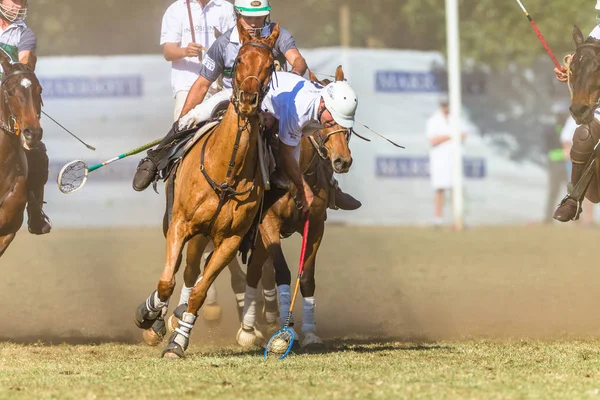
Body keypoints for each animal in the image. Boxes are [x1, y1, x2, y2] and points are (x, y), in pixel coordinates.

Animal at [135, 20, 280, 360]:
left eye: (270, 66)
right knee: (180, 270)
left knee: (191, 273)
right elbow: (165, 282)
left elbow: (199, 291)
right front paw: (148, 314)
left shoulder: (230, 240)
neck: (226, 173)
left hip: (205, 236)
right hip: (186, 227)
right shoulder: (179, 223)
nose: (248, 100)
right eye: (238, 61)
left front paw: (178, 342)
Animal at [237, 66, 354, 350]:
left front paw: (310, 332)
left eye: (349, 128)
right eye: (326, 123)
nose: (342, 161)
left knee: (254, 270)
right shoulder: (268, 224)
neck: (297, 173)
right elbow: (282, 271)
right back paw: (247, 329)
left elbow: (308, 277)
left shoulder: (316, 226)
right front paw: (285, 330)